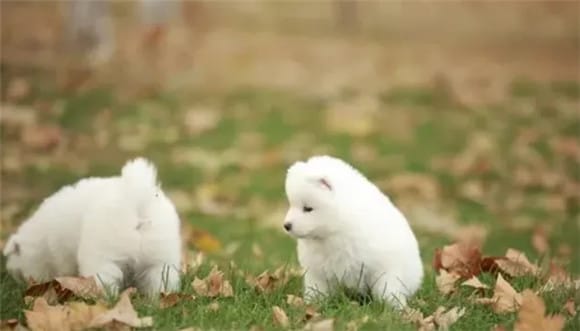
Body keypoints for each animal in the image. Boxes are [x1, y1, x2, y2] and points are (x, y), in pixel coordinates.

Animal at [2, 159, 181, 298]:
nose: (22, 282)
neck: (42, 237)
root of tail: (136, 199)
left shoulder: (60, 254)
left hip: (104, 257)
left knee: (105, 279)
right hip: (162, 259)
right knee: (160, 280)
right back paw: (156, 301)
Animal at [284, 156, 424, 308]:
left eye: (308, 208)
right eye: (291, 204)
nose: (286, 225)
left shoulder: (384, 267)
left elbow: (387, 289)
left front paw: (394, 307)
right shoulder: (317, 271)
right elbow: (316, 289)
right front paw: (311, 304)